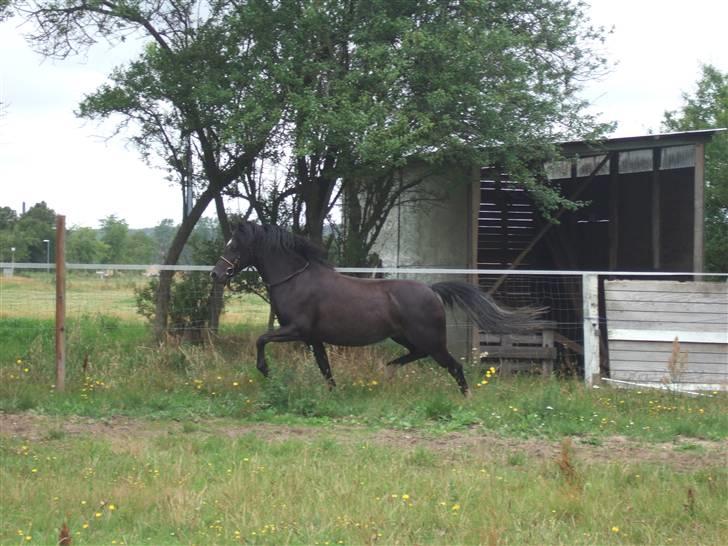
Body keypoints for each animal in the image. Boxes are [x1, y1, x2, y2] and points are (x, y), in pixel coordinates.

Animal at [208, 221, 544, 396]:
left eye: (234, 246)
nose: (216, 274)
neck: (296, 280)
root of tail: (432, 291)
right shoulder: (313, 338)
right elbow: (324, 367)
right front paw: (333, 394)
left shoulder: (296, 330)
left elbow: (261, 339)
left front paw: (265, 370)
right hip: (405, 336)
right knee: (416, 356)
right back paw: (389, 368)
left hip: (432, 340)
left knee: (454, 366)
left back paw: (466, 397)